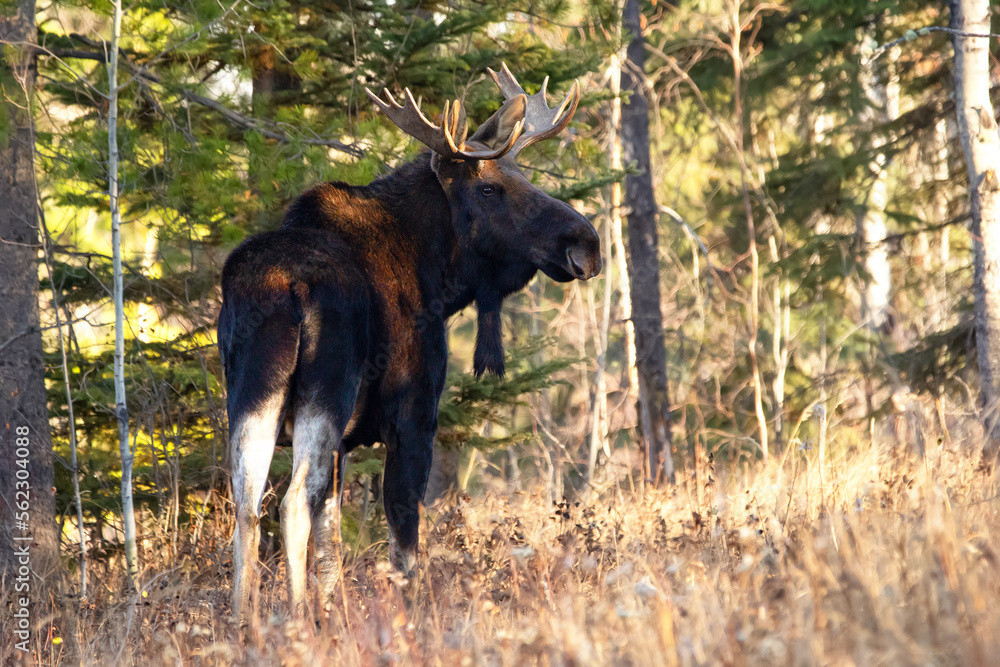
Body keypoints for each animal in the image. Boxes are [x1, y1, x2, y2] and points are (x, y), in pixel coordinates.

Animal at [218, 65, 600, 620]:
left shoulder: (345, 442)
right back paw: (295, 620)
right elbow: (405, 543)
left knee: (247, 507)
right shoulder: (414, 415)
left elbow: (332, 544)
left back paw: (246, 623)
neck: (438, 274)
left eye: (525, 178)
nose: (587, 243)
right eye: (489, 189)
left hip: (251, 393)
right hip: (325, 394)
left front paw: (336, 616)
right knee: (291, 505)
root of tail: (285, 287)